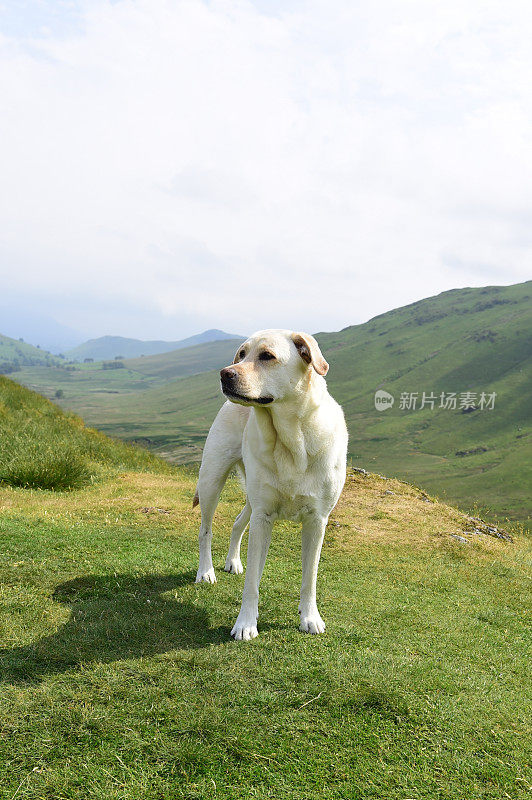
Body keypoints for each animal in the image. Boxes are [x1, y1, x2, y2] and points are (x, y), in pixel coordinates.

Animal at [193, 328, 348, 640]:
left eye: (267, 356)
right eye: (242, 354)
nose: (225, 373)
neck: (291, 441)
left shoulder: (317, 521)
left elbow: (310, 577)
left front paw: (310, 618)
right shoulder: (264, 517)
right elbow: (253, 581)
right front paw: (245, 624)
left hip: (250, 497)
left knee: (237, 523)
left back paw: (233, 561)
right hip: (212, 481)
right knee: (206, 530)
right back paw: (206, 571)